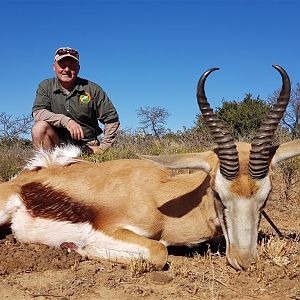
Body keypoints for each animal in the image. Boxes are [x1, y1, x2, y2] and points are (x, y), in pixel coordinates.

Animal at [0, 65, 298, 270]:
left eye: (266, 196)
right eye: (217, 193)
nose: (244, 259)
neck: (161, 198)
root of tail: (22, 179)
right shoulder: (112, 231)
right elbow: (159, 252)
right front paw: (75, 248)